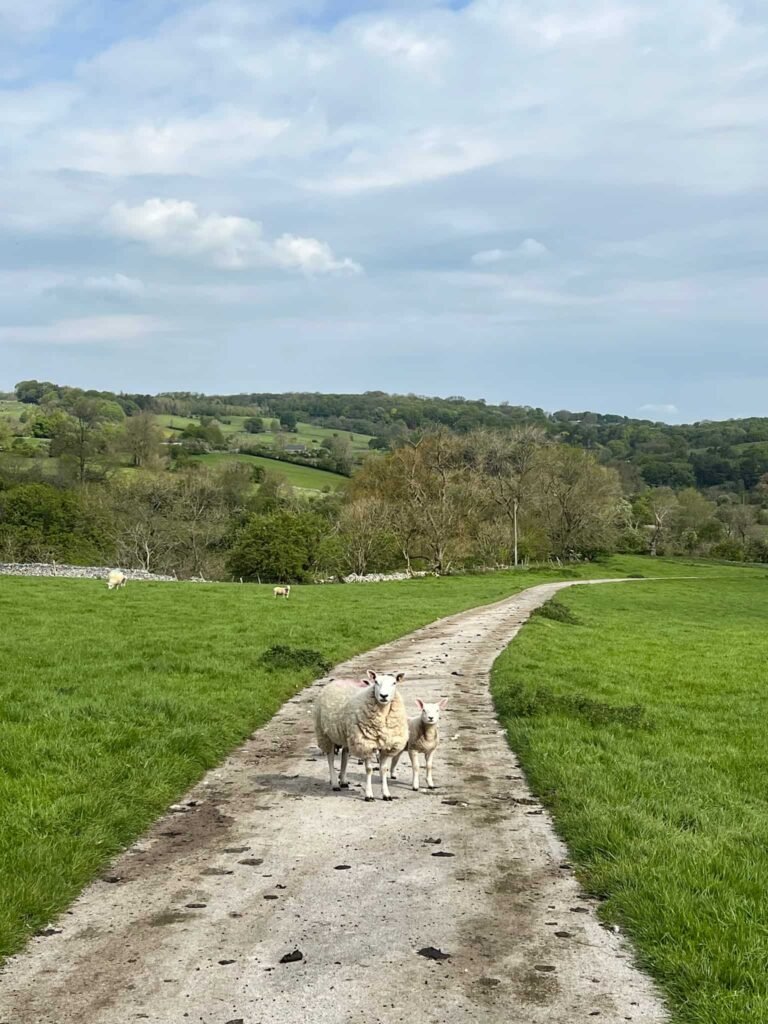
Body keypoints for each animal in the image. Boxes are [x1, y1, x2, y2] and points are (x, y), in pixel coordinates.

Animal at [314, 670, 409, 801]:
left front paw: (386, 794)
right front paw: (369, 795)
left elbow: (383, 769)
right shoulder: (366, 744)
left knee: (345, 755)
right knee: (330, 758)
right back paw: (335, 783)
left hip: (346, 736)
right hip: (325, 734)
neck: (382, 714)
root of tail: (336, 681)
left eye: (394, 683)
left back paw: (343, 780)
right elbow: (368, 770)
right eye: (376, 682)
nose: (383, 696)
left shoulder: (385, 745)